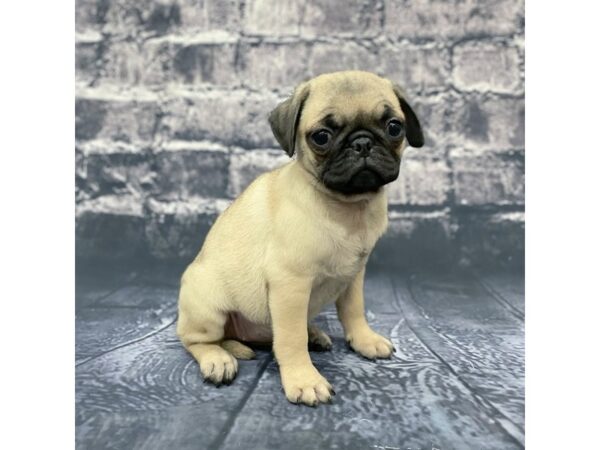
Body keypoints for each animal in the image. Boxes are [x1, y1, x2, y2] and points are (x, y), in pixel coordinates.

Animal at [176, 71, 424, 408]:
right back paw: (218, 358)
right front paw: (304, 379)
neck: (347, 208)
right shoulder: (290, 284)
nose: (362, 142)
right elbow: (291, 340)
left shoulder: (354, 275)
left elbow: (354, 311)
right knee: (197, 340)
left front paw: (364, 340)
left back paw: (313, 334)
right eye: (321, 136)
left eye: (394, 127)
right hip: (208, 308)